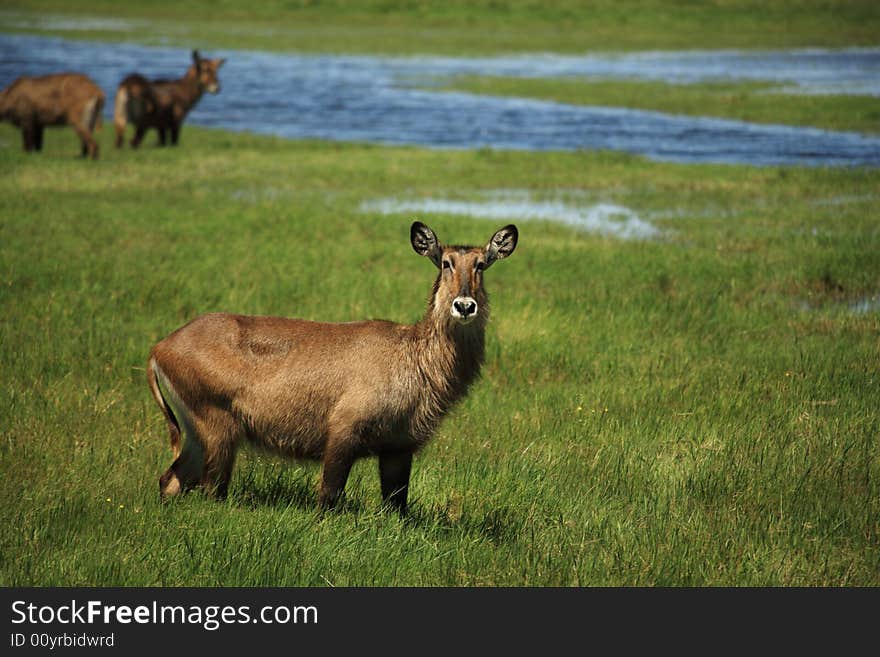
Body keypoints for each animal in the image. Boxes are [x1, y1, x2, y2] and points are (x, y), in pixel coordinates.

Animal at [144, 220, 516, 512]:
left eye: (481, 264)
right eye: (445, 262)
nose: (464, 305)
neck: (414, 358)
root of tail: (159, 348)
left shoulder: (398, 446)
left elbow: (398, 506)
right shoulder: (343, 430)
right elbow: (329, 496)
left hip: (196, 433)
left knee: (169, 480)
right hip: (217, 428)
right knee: (211, 491)